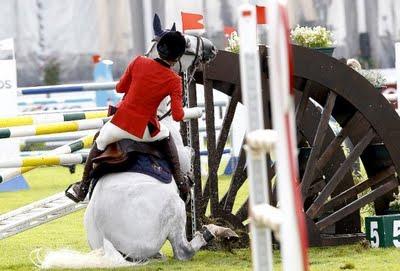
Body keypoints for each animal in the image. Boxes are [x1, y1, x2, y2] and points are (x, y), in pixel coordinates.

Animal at [36, 16, 238, 270]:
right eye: (187, 41)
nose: (211, 48)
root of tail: (107, 243)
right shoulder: (177, 150)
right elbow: (190, 152)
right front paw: (189, 180)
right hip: (171, 207)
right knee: (183, 250)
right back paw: (215, 231)